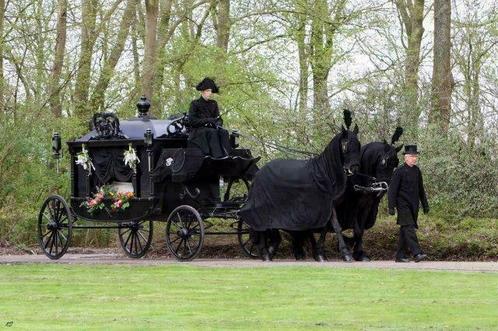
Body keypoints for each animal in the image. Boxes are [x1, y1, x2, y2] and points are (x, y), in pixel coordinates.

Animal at [239, 111, 360, 262]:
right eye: (345, 144)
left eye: (358, 144)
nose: (354, 168)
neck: (326, 172)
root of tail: (258, 174)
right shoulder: (325, 205)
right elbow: (335, 226)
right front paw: (345, 254)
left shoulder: (327, 206)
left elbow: (326, 227)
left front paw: (320, 253)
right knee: (260, 223)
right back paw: (266, 253)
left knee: (269, 225)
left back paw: (269, 251)